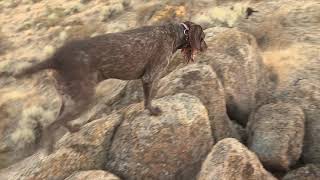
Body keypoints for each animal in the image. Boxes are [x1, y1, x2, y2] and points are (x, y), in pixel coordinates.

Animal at [16, 21, 208, 153]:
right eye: (203, 37)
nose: (206, 47)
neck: (175, 32)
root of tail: (55, 58)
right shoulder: (149, 76)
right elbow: (148, 100)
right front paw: (153, 111)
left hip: (69, 98)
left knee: (60, 120)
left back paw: (73, 129)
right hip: (83, 98)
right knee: (51, 126)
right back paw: (50, 149)